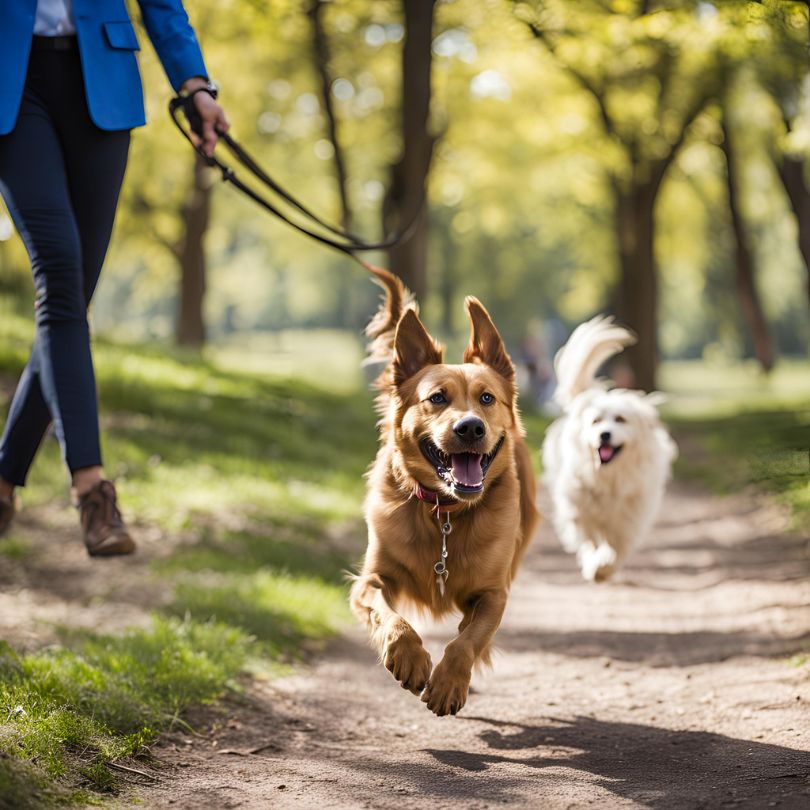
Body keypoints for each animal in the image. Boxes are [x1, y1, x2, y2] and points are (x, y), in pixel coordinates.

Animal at [350, 266, 540, 712]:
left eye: (487, 398)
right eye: (436, 398)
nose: (470, 428)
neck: (445, 514)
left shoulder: (493, 593)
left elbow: (467, 640)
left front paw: (450, 681)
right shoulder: (369, 581)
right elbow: (392, 618)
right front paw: (409, 658)